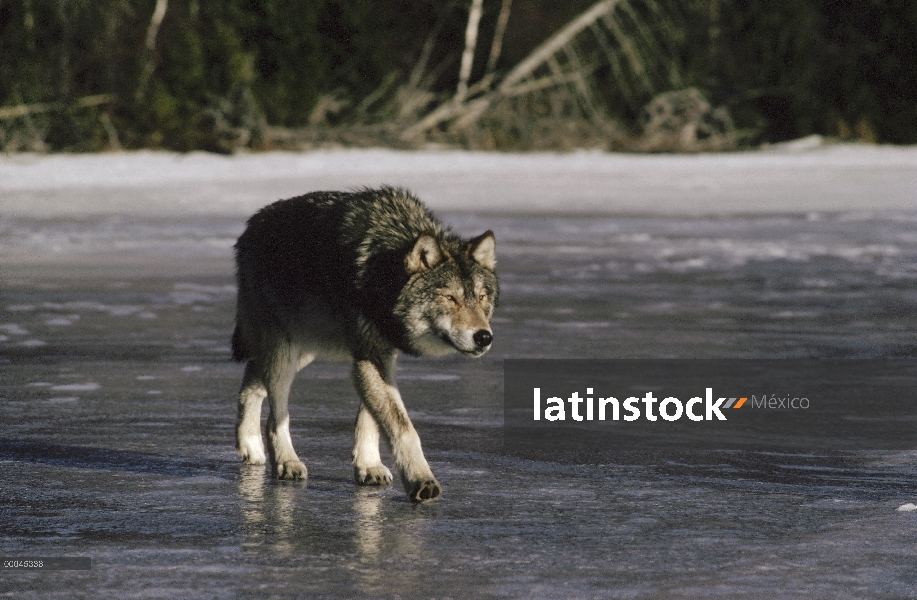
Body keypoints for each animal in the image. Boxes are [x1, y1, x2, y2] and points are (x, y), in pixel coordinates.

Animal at [233, 186, 498, 502]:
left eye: (481, 298)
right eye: (450, 298)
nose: (484, 337)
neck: (383, 272)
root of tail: (250, 226)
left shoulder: (380, 356)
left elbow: (370, 418)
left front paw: (369, 466)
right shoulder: (370, 355)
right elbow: (402, 427)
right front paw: (421, 479)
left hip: (304, 349)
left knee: (251, 377)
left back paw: (249, 445)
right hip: (285, 352)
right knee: (276, 416)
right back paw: (286, 461)